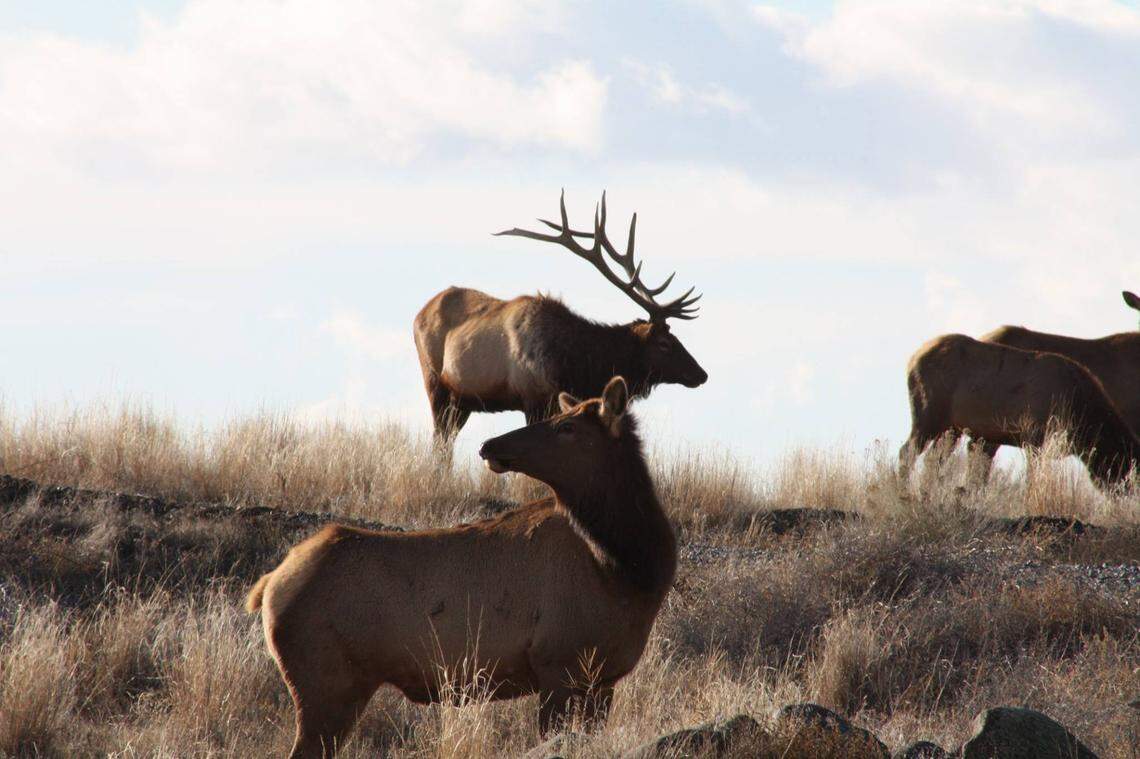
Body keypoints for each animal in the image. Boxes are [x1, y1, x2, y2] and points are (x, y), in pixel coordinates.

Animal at [246, 376, 677, 758]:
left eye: (567, 426)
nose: (490, 445)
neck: (628, 572)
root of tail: (268, 586)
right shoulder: (556, 665)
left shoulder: (603, 679)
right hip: (326, 683)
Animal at [413, 191, 706, 450]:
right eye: (664, 343)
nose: (701, 374)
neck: (575, 367)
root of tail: (419, 314)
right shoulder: (533, 398)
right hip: (435, 384)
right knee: (439, 441)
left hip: (462, 401)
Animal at [899, 333, 1140, 488]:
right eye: (1128, 467)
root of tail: (911, 359)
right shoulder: (1035, 436)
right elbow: (1032, 478)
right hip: (928, 415)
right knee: (907, 452)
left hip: (951, 428)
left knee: (933, 460)